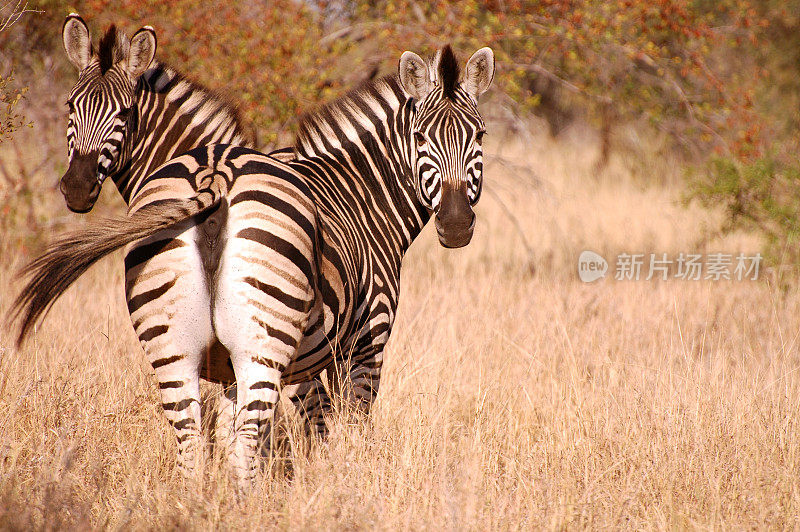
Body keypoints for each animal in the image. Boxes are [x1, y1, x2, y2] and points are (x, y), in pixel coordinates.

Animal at [10, 43, 494, 488]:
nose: (455, 225)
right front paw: (340, 487)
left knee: (192, 437)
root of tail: (215, 174)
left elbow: (241, 433)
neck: (360, 192)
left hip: (175, 340)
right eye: (421, 139)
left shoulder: (242, 364)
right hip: (265, 340)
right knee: (246, 436)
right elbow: (337, 430)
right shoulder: (361, 345)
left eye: (480, 136)